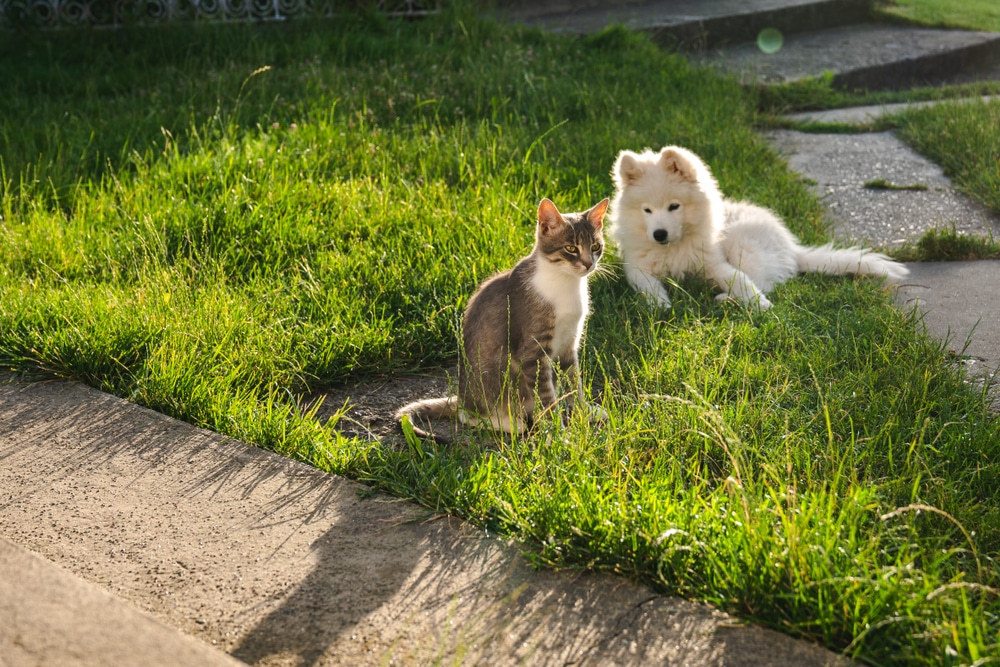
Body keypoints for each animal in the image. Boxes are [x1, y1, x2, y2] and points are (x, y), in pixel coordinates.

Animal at [392, 196, 608, 440]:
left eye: (595, 246)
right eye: (571, 248)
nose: (589, 263)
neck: (565, 283)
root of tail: (461, 398)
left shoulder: (569, 343)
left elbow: (574, 382)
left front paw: (584, 412)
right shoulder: (532, 352)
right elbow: (546, 396)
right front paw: (558, 434)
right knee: (467, 415)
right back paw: (511, 423)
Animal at [604, 144, 912, 310]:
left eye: (674, 206)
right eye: (647, 210)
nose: (659, 234)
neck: (674, 249)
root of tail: (793, 249)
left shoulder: (714, 262)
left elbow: (741, 280)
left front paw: (762, 307)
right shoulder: (636, 266)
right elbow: (646, 284)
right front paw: (660, 303)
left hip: (741, 241)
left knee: (761, 279)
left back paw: (724, 299)